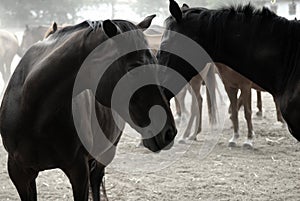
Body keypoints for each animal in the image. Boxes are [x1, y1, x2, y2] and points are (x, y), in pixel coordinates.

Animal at [158, 0, 298, 144]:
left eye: (164, 46)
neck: (289, 59)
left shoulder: (245, 85)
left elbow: (246, 111)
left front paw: (248, 138)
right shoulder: (230, 85)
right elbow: (236, 109)